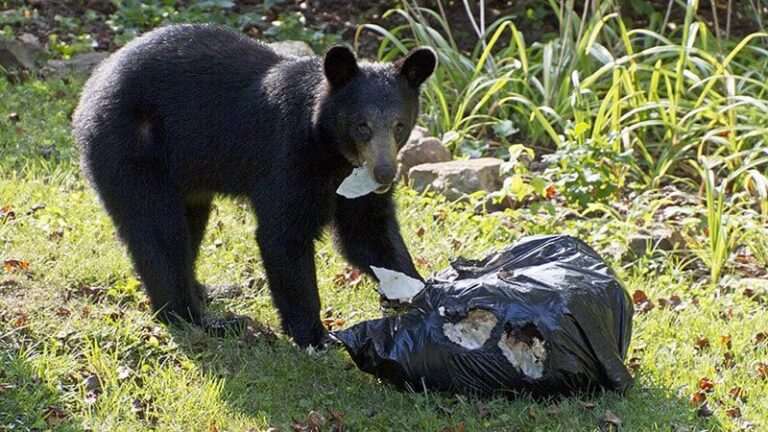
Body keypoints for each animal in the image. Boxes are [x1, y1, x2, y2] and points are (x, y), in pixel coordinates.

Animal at [72, 24, 437, 348]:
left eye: (399, 126)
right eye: (362, 125)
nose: (384, 174)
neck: (332, 152)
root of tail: (91, 87)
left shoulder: (353, 185)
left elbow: (369, 233)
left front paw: (419, 293)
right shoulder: (287, 157)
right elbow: (283, 235)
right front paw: (317, 336)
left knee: (189, 224)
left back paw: (207, 290)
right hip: (132, 148)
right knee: (159, 231)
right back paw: (198, 318)